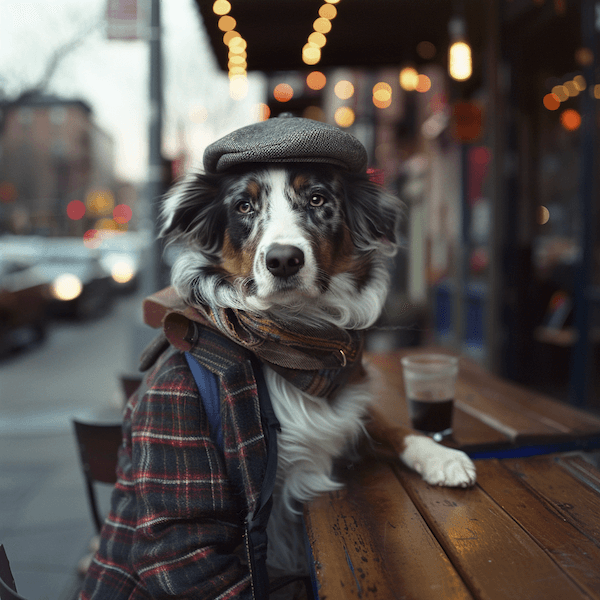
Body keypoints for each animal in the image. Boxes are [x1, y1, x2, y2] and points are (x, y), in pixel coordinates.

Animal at [159, 158, 478, 576]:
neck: (298, 345)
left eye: (317, 199)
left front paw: (441, 456)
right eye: (244, 207)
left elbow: (394, 426)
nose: (283, 260)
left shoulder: (350, 405)